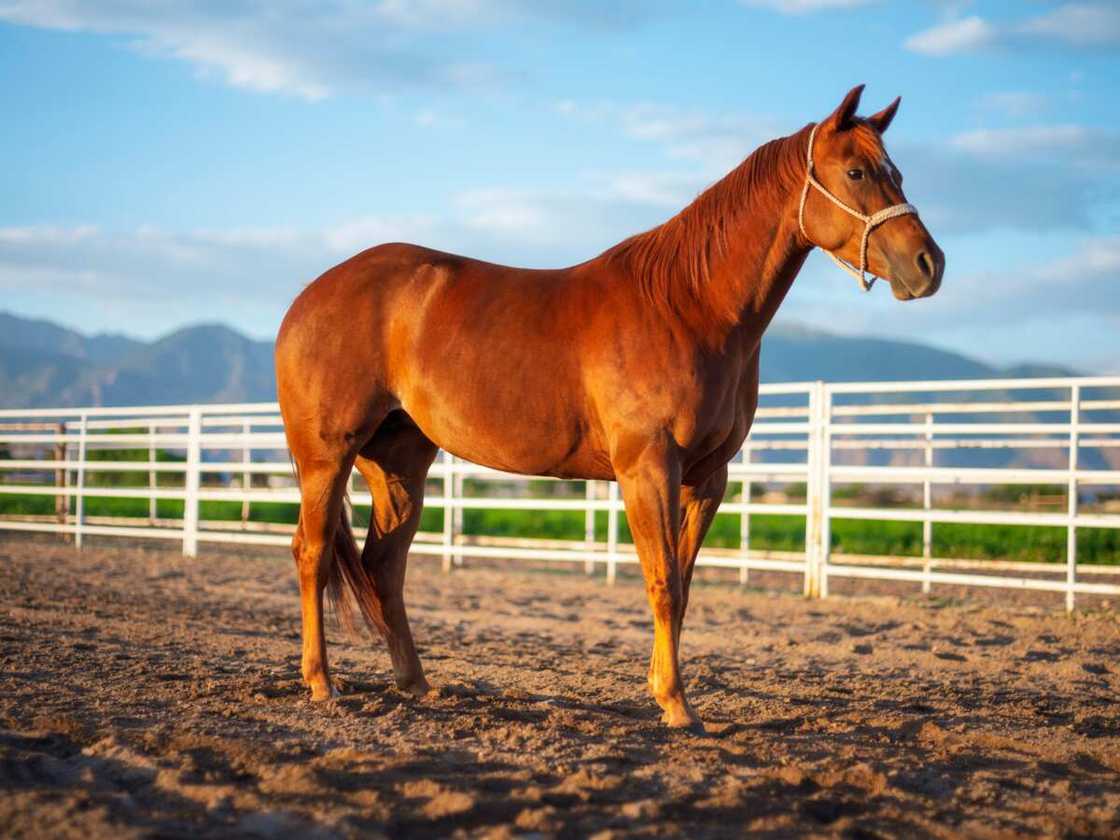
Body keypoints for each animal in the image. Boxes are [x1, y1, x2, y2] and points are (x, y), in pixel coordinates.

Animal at [275, 84, 944, 730]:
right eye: (857, 172)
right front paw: (676, 704)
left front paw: (663, 690)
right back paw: (322, 683)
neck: (689, 305)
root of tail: (309, 297)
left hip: (399, 463)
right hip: (327, 458)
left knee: (384, 567)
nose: (929, 265)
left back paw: (415, 684)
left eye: (899, 172)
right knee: (312, 553)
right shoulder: (648, 468)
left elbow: (682, 584)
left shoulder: (708, 478)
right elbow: (664, 582)